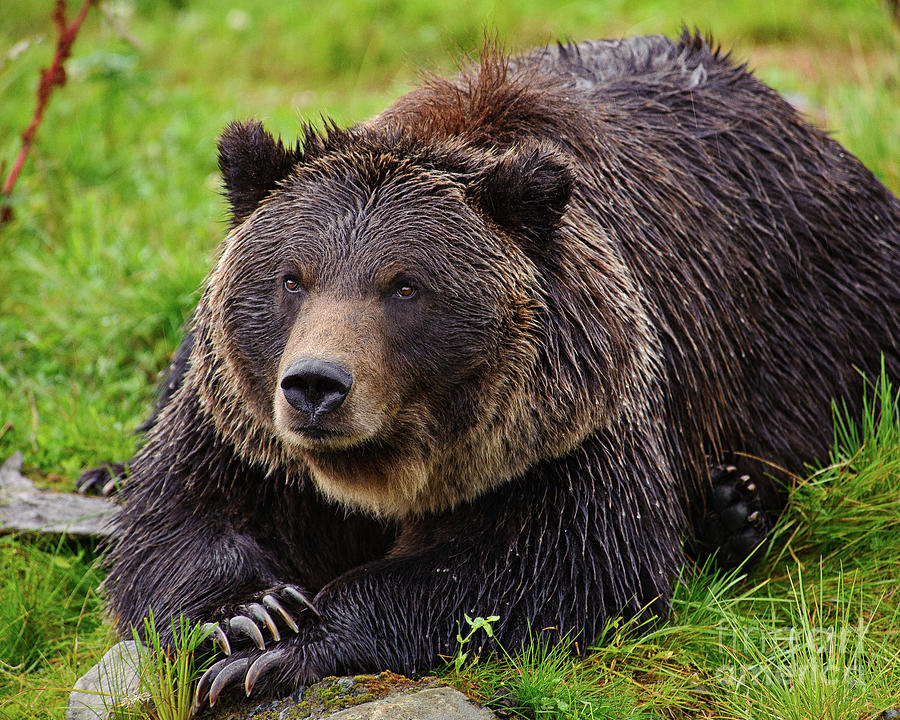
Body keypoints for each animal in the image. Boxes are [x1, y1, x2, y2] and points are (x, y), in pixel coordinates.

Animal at [93, 31, 900, 704]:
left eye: (405, 285)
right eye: (292, 277)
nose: (317, 386)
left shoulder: (573, 430)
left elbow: (556, 564)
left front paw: (283, 647)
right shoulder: (241, 423)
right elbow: (179, 517)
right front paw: (251, 616)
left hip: (831, 315)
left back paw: (735, 506)